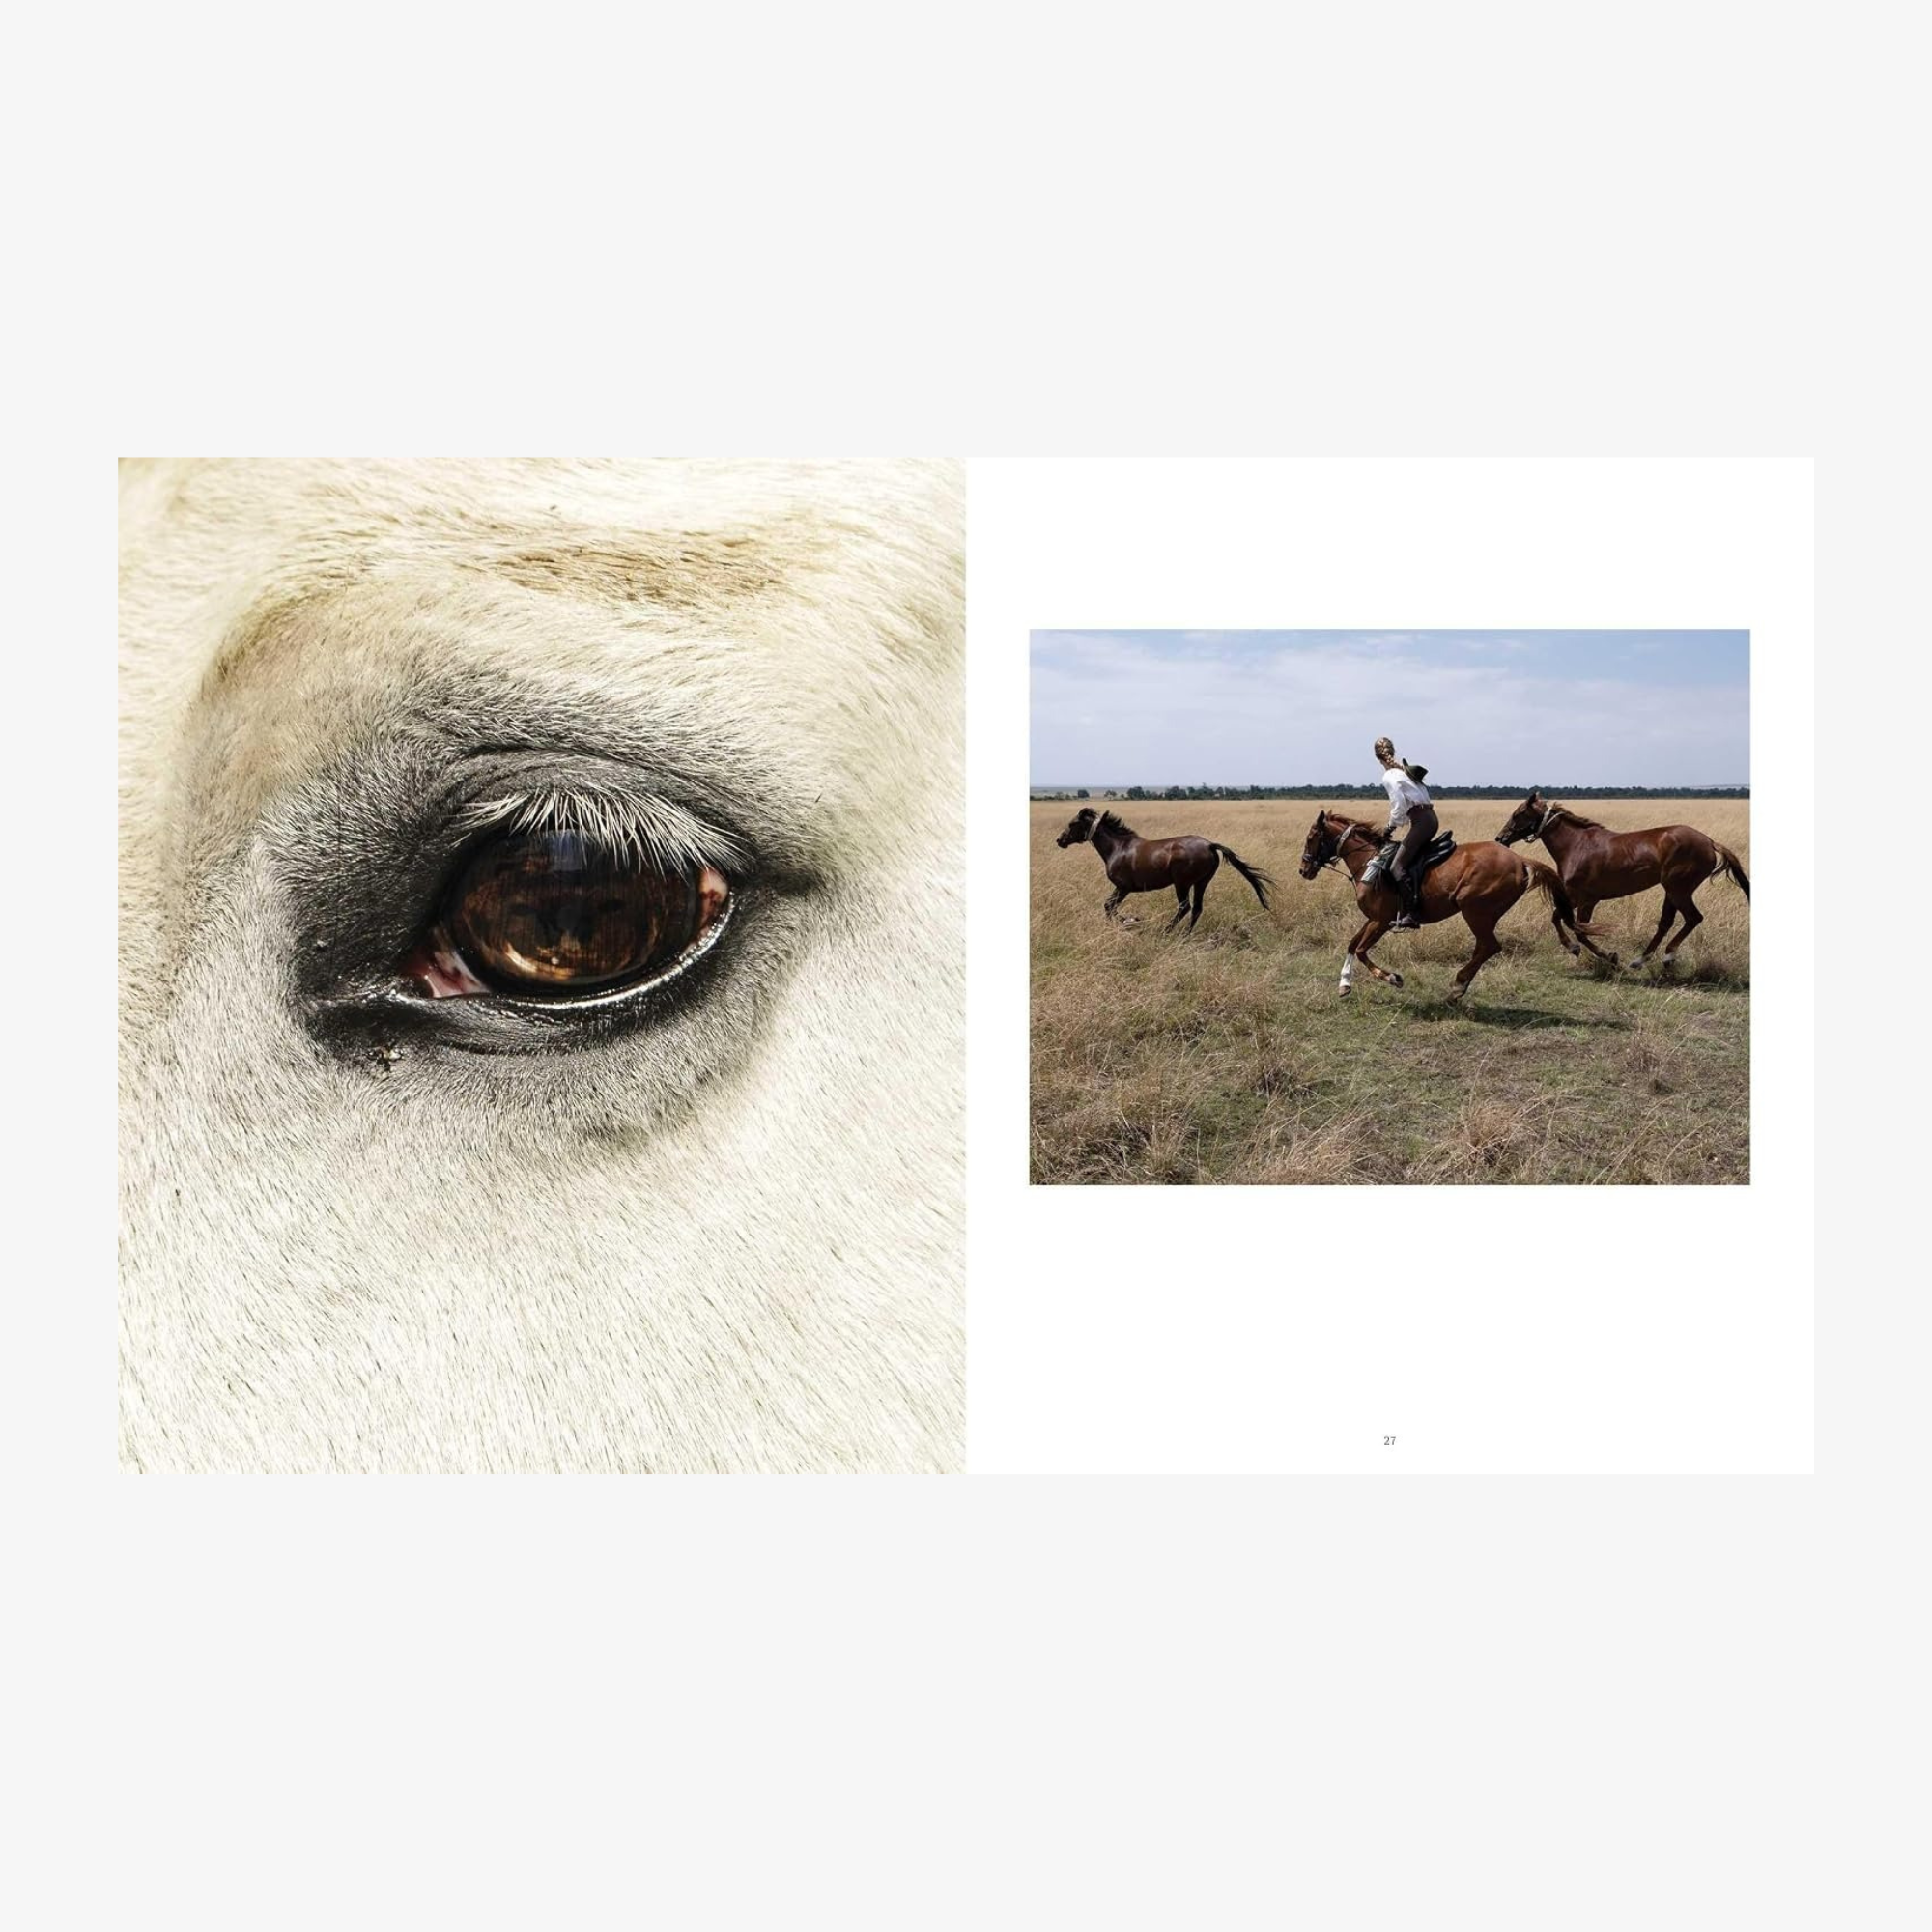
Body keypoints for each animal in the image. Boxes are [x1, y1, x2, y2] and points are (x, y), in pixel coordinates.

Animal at [1056, 806, 1275, 932]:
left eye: (1073, 823)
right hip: (1201, 882)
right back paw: (1186, 934)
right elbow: (1109, 906)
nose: (1059, 840)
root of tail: (1210, 845)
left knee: (1185, 907)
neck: (1117, 847)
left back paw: (1167, 931)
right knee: (1197, 908)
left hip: (1182, 883)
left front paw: (1130, 920)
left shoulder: (1123, 887)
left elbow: (1109, 906)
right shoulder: (1122, 888)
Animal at [1297, 810, 1612, 1000]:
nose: (1303, 870)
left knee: (1489, 946)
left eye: (1312, 837)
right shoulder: (1373, 919)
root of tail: (1520, 859)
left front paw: (1393, 978)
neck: (1369, 861)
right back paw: (1459, 987)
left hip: (1474, 908)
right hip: (1480, 913)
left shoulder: (1382, 921)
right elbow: (1352, 945)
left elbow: (1362, 950)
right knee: (1484, 948)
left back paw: (1457, 987)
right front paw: (1344, 984)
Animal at [1493, 791, 1750, 967]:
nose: (1500, 838)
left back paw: (1667, 956)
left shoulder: (1586, 899)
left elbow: (1579, 929)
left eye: (1518, 814)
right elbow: (1557, 918)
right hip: (1672, 890)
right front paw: (1573, 948)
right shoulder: (1574, 897)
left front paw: (1609, 956)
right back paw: (1640, 960)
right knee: (1666, 922)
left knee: (1693, 918)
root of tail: (1709, 842)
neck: (1577, 845)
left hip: (1679, 889)